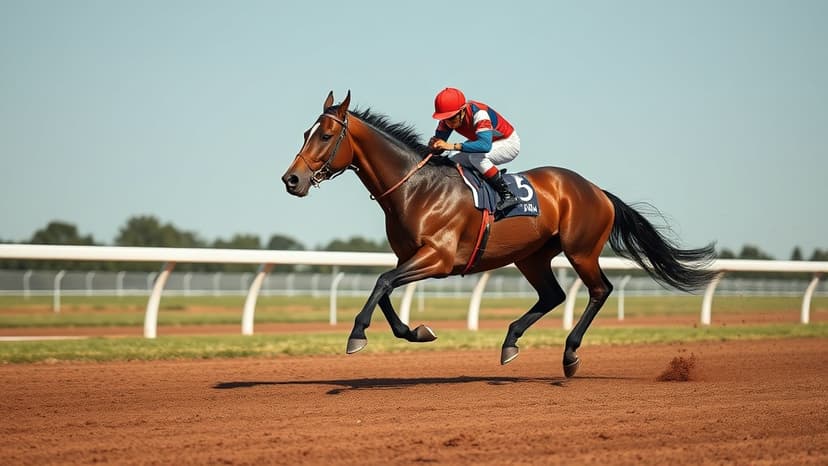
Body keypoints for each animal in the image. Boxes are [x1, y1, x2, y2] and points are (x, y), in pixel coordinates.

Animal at [281, 91, 716, 377]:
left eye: (324, 136)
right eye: (304, 132)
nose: (291, 179)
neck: (416, 188)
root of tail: (597, 190)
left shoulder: (438, 259)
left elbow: (383, 282)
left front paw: (356, 335)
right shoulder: (409, 256)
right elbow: (384, 289)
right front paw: (416, 332)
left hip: (581, 250)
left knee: (599, 290)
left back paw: (570, 355)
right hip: (532, 255)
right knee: (554, 295)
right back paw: (510, 342)